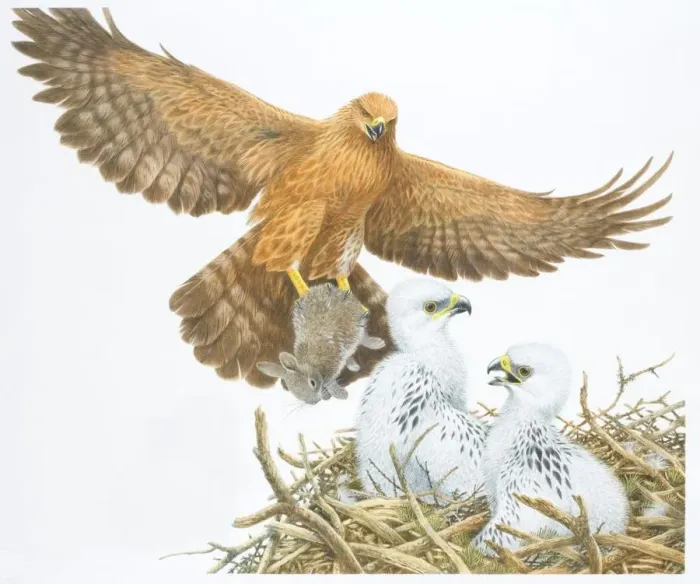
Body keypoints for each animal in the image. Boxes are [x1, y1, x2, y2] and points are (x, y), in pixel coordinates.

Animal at [256, 283, 386, 404]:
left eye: (312, 383)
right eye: (296, 395)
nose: (316, 402)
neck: (309, 362)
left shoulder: (333, 364)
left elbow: (330, 382)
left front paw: (341, 394)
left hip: (357, 324)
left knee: (362, 338)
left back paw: (378, 344)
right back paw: (353, 365)